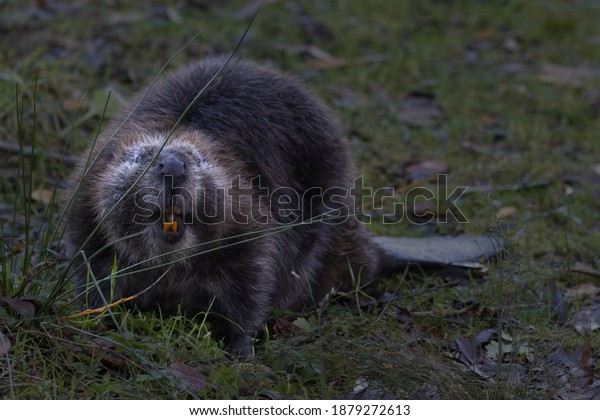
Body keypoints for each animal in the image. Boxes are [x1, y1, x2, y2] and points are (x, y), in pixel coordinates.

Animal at [62, 58, 502, 354]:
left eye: (198, 160)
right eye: (141, 157)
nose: (172, 166)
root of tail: (370, 247)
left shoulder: (250, 226)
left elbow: (250, 290)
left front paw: (238, 348)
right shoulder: (86, 216)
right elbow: (94, 274)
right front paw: (95, 319)